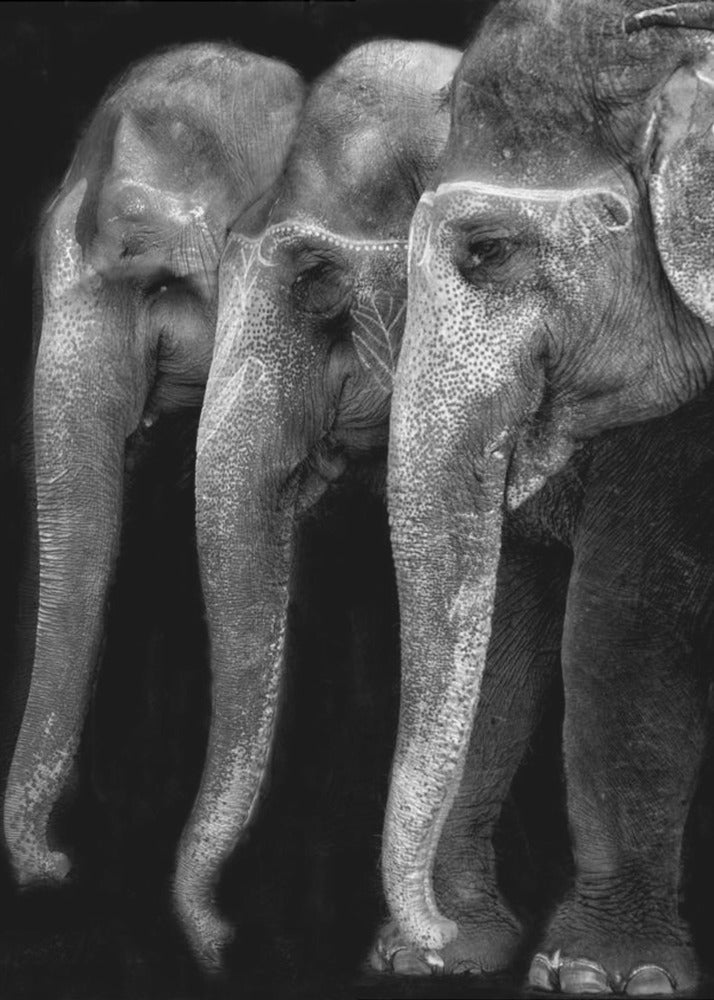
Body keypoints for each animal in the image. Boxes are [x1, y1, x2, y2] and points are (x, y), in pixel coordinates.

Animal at [379, 0, 714, 995]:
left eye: (486, 251)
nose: (429, 936)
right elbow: (527, 610)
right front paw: (455, 958)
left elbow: (626, 624)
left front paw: (607, 976)